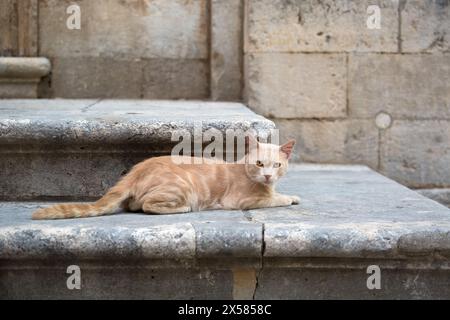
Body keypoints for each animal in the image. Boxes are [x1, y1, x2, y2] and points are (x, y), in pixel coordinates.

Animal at [31, 136, 298, 219]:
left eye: (277, 165)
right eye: (259, 164)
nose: (267, 176)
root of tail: (137, 169)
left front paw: (289, 194)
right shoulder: (242, 201)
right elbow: (274, 199)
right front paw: (289, 198)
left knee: (135, 204)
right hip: (182, 189)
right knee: (147, 206)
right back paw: (183, 209)